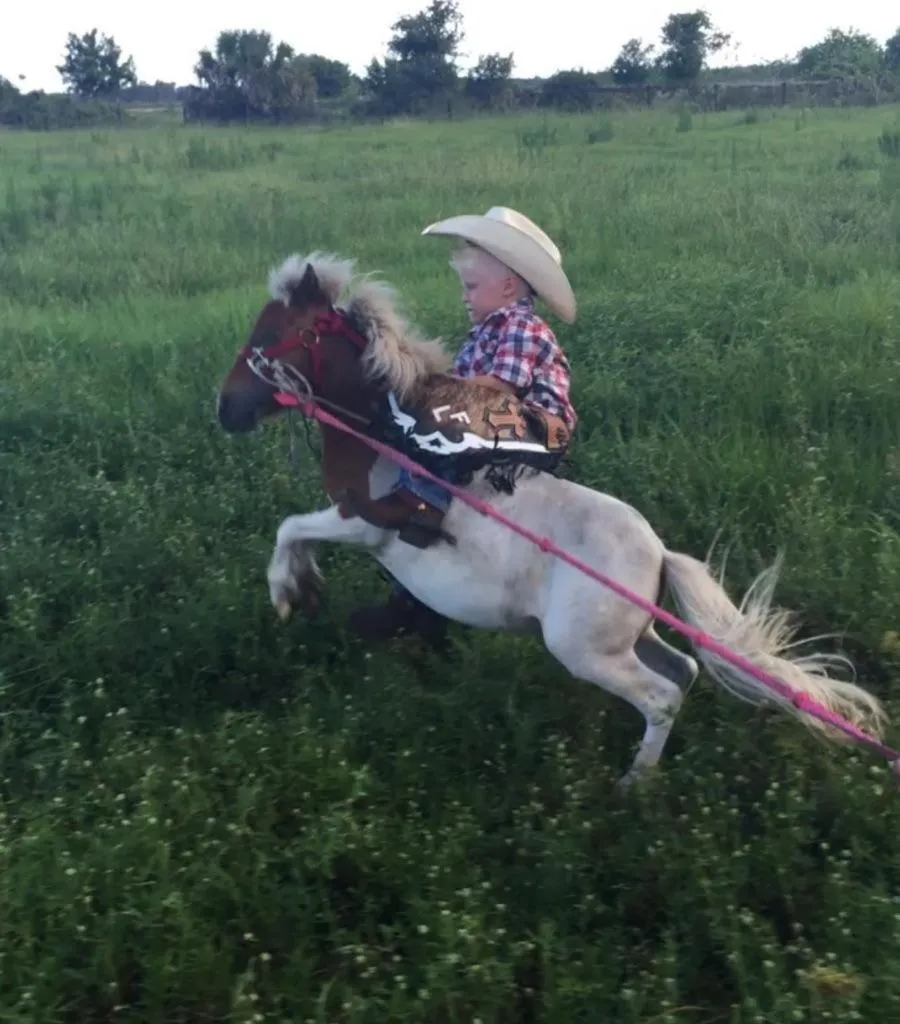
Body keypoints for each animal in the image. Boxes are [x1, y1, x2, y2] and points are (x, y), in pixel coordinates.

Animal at [215, 251, 888, 787]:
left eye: (270, 331)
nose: (225, 410)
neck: (384, 433)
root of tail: (658, 555)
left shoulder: (367, 524)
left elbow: (292, 528)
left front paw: (288, 593)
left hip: (585, 651)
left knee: (662, 697)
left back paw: (633, 786)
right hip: (632, 637)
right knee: (688, 668)